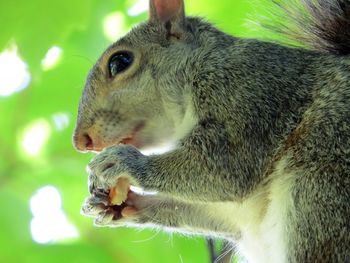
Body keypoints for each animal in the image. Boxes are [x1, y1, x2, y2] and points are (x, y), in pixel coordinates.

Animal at [72, 1, 348, 262]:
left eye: (120, 62)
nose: (80, 141)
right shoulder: (233, 214)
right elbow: (209, 212)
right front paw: (114, 204)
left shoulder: (248, 92)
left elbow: (226, 169)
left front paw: (123, 162)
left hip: (319, 191)